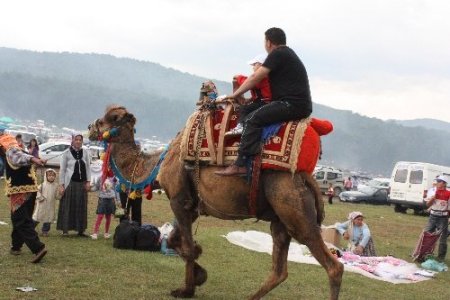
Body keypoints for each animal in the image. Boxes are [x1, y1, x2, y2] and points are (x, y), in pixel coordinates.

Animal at [87, 105, 342, 300]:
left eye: (111, 118)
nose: (90, 128)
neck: (158, 165)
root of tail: (307, 177)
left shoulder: (178, 200)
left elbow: (187, 247)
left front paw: (186, 289)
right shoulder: (192, 206)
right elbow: (175, 240)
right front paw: (200, 275)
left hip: (294, 208)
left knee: (333, 266)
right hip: (280, 219)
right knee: (279, 270)